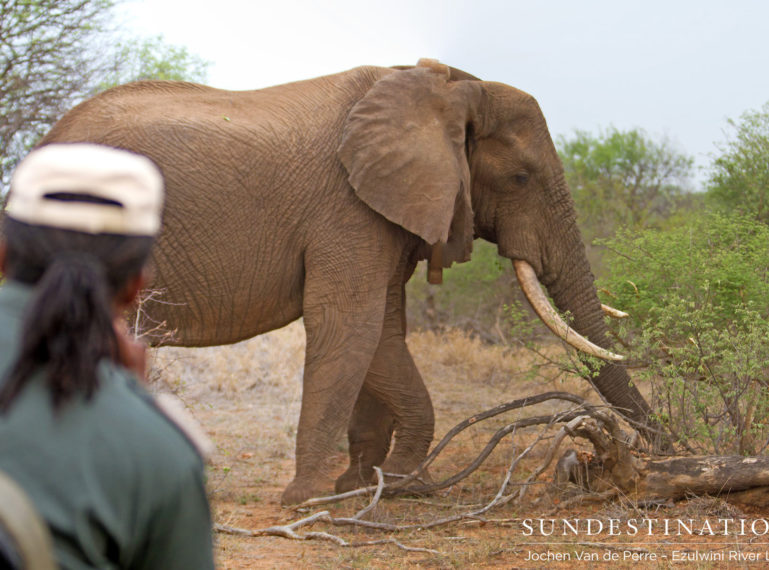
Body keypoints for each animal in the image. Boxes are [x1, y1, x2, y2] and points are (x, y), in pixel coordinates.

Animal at [33, 57, 652, 502]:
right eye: (521, 178)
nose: (649, 452)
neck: (447, 87)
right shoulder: (347, 208)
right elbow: (351, 326)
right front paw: (316, 499)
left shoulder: (379, 212)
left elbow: (384, 329)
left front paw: (371, 485)